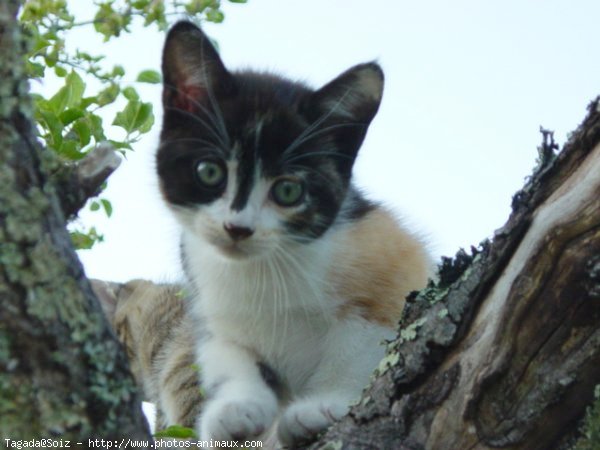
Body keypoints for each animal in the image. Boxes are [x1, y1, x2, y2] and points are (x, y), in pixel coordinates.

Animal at [157, 19, 432, 444]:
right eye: (209, 171)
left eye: (288, 191)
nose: (237, 227)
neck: (262, 270)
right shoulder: (205, 293)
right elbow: (226, 354)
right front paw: (235, 408)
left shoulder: (392, 254)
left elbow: (361, 343)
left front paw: (323, 407)